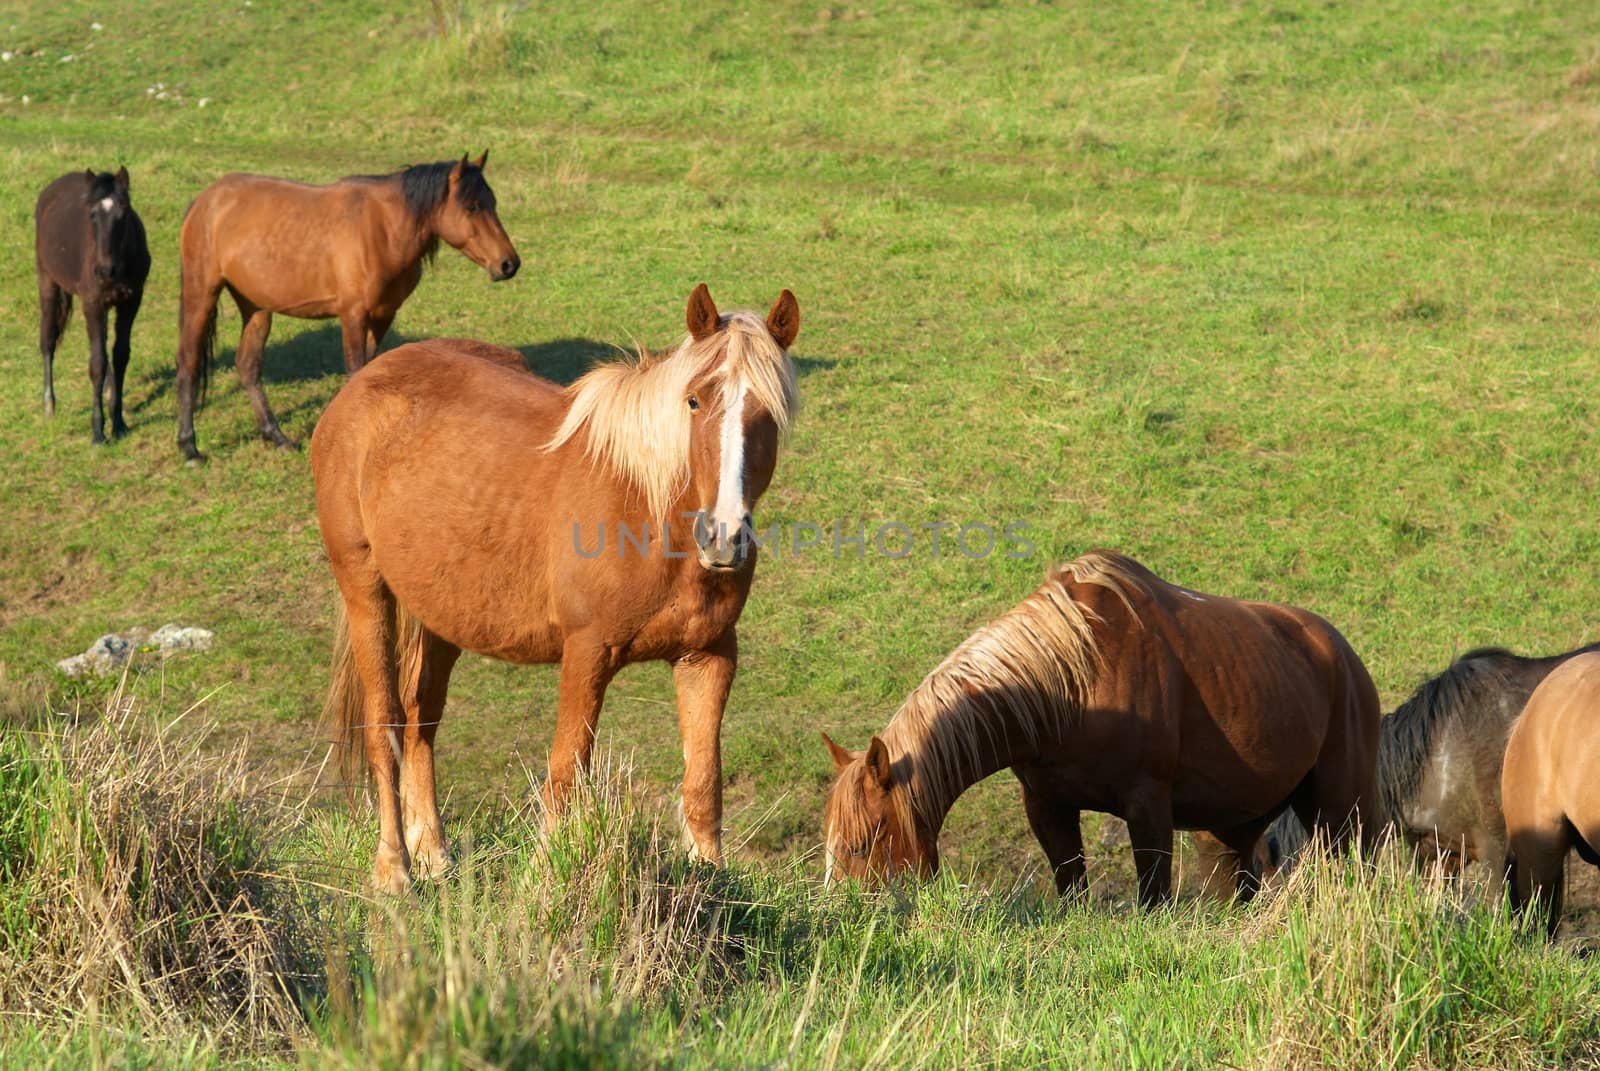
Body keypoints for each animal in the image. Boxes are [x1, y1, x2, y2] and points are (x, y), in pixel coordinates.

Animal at [33, 167, 150, 441]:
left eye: (123, 212)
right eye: (92, 215)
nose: (105, 270)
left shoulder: (130, 302)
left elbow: (119, 356)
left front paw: (118, 423)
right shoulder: (93, 304)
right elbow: (97, 363)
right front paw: (98, 431)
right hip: (48, 283)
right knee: (48, 340)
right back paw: (49, 404)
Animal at [178, 152, 521, 461]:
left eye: (492, 203)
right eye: (471, 206)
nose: (509, 264)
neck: (383, 229)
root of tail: (206, 201)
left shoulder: (382, 316)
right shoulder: (353, 316)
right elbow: (355, 372)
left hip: (256, 307)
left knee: (248, 366)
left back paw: (277, 437)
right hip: (202, 295)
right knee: (189, 363)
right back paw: (189, 447)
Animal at [308, 283, 796, 896]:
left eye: (770, 413)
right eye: (694, 401)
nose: (724, 537)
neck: (647, 510)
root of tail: (361, 385)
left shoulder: (708, 656)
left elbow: (703, 783)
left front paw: (710, 886)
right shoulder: (587, 653)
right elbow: (567, 772)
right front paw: (545, 882)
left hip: (443, 613)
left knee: (423, 718)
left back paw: (435, 856)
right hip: (366, 589)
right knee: (387, 725)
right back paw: (394, 869)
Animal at [819, 550, 1382, 902]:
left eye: (863, 842)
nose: (845, 915)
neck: (1069, 682)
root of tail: (1343, 656)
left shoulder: (1148, 806)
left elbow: (1153, 898)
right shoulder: (1047, 805)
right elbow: (1072, 889)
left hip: (1341, 812)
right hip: (1229, 830)